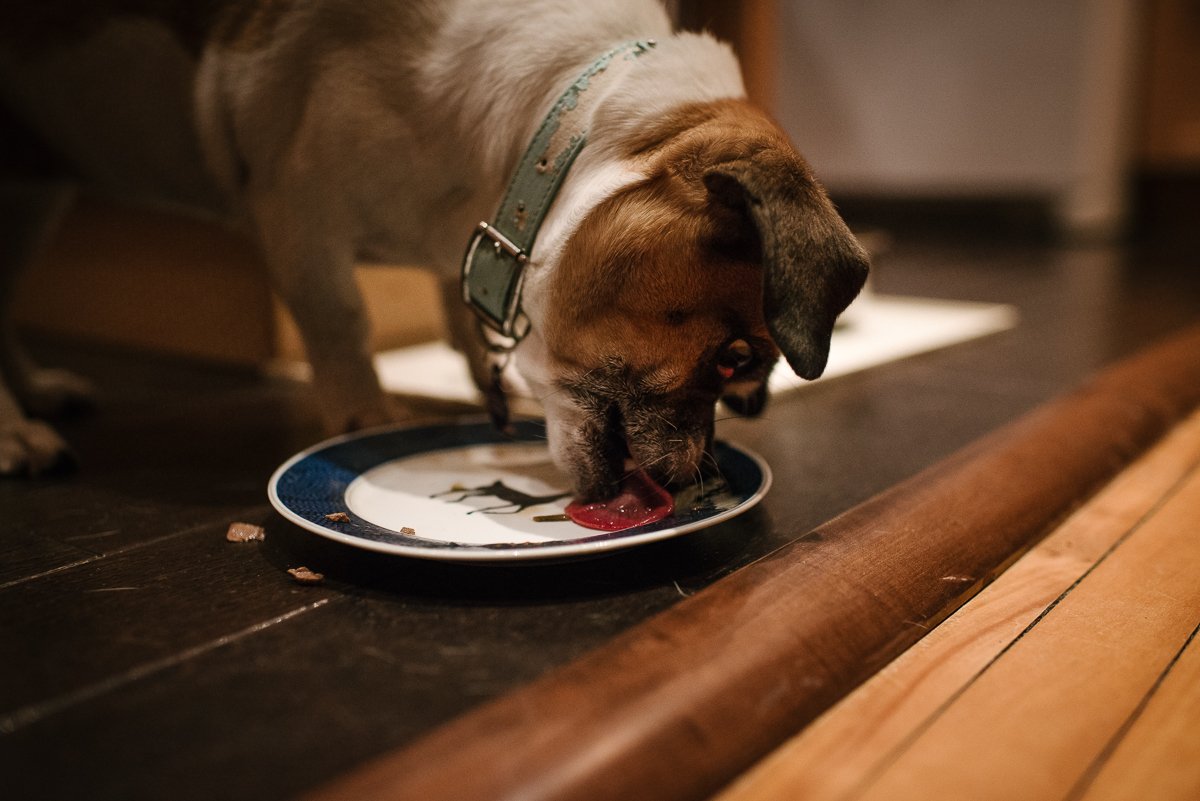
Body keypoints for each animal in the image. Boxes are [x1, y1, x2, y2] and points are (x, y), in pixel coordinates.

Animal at [0, 1, 864, 501]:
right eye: (734, 357)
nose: (700, 472)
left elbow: (462, 323)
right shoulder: (300, 212)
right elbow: (344, 325)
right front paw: (370, 422)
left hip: (34, 196)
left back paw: (37, 392)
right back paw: (16, 432)